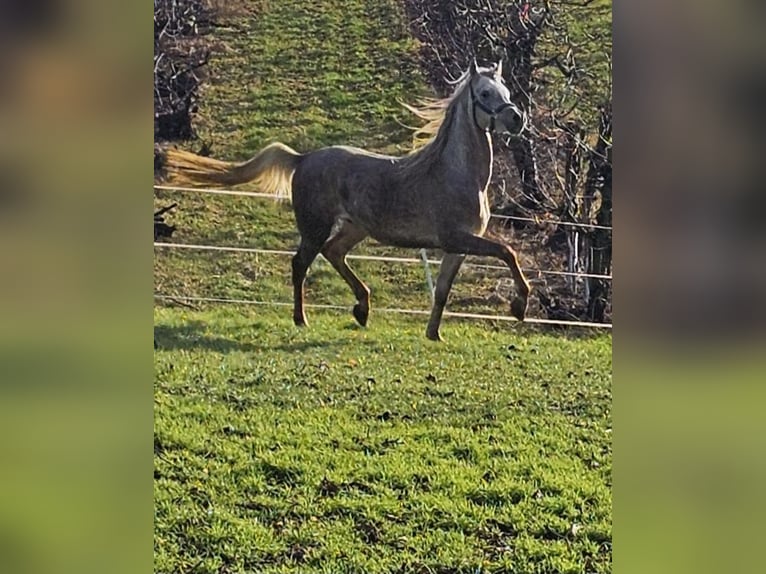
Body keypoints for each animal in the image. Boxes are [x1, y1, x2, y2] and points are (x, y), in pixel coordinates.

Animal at [162, 60, 536, 342]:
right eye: (485, 93)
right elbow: (508, 252)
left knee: (334, 253)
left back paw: (362, 308)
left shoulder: (456, 247)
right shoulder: (456, 238)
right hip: (314, 228)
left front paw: (434, 334)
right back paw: (302, 319)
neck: (455, 173)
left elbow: (443, 290)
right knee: (301, 264)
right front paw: (519, 306)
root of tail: (302, 158)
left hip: (355, 228)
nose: (517, 118)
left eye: (506, 92)